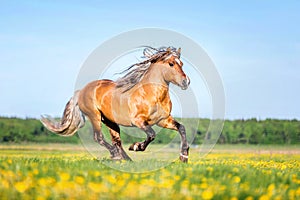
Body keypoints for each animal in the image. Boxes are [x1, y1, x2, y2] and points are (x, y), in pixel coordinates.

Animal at [40, 46, 190, 162]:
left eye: (182, 64)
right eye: (171, 64)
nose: (186, 82)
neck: (152, 94)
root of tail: (81, 91)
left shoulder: (163, 120)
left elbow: (181, 128)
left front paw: (184, 156)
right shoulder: (138, 121)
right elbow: (152, 134)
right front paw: (136, 146)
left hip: (110, 121)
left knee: (116, 140)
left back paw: (126, 159)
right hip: (94, 116)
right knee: (99, 138)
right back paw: (115, 155)